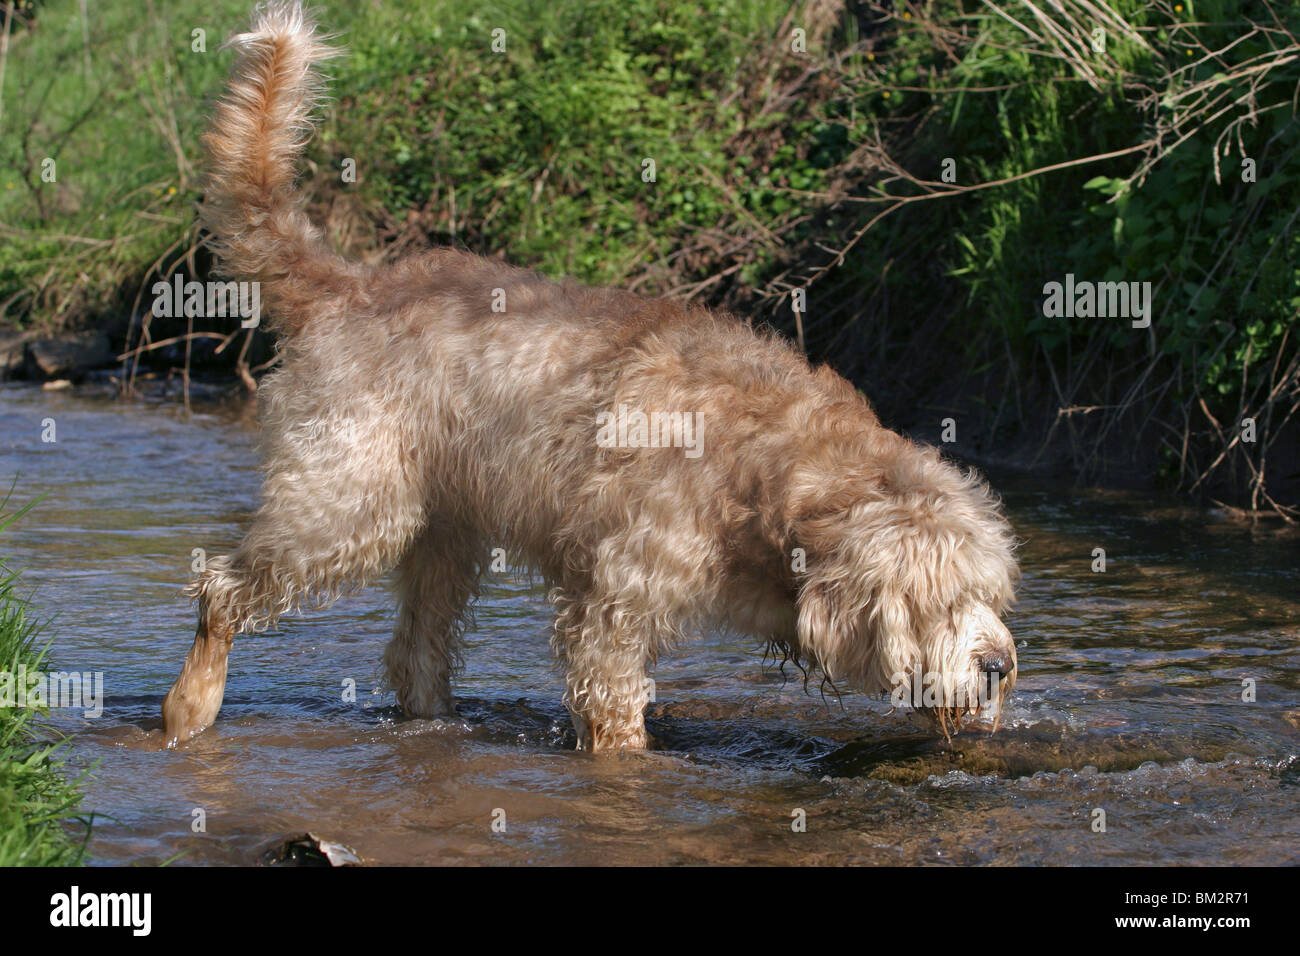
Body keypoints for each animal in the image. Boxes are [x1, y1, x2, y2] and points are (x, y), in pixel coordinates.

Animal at [162, 3, 1019, 754]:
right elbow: (614, 714)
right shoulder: (614, 603)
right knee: (221, 592)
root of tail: (352, 285)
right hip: (349, 504)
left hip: (445, 530)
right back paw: (188, 707)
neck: (774, 470)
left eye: (990, 595)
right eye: (941, 600)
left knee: (416, 653)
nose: (998, 665)